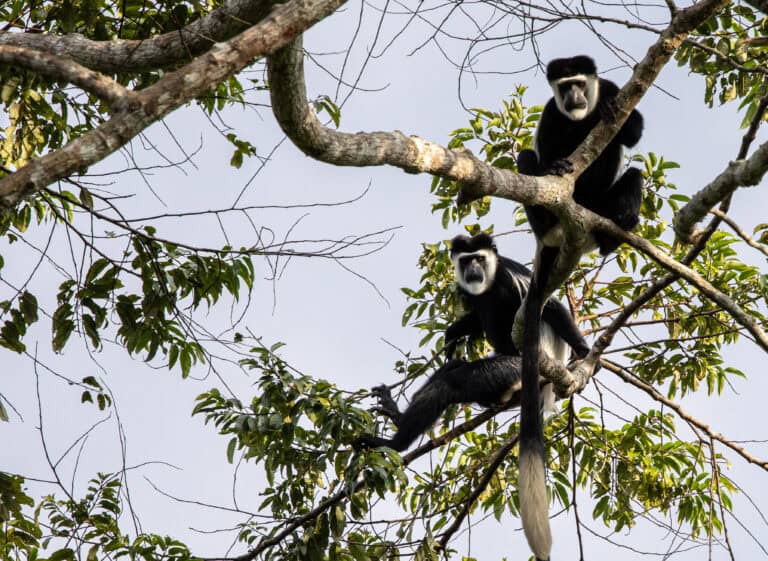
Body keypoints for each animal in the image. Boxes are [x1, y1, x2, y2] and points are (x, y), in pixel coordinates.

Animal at [514, 55, 644, 561]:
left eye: (580, 84)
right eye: (563, 86)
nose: (574, 98)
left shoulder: (608, 91)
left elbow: (632, 132)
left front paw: (612, 110)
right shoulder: (552, 115)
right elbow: (544, 147)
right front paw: (557, 161)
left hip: (604, 203)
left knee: (633, 176)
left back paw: (617, 224)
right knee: (525, 160)